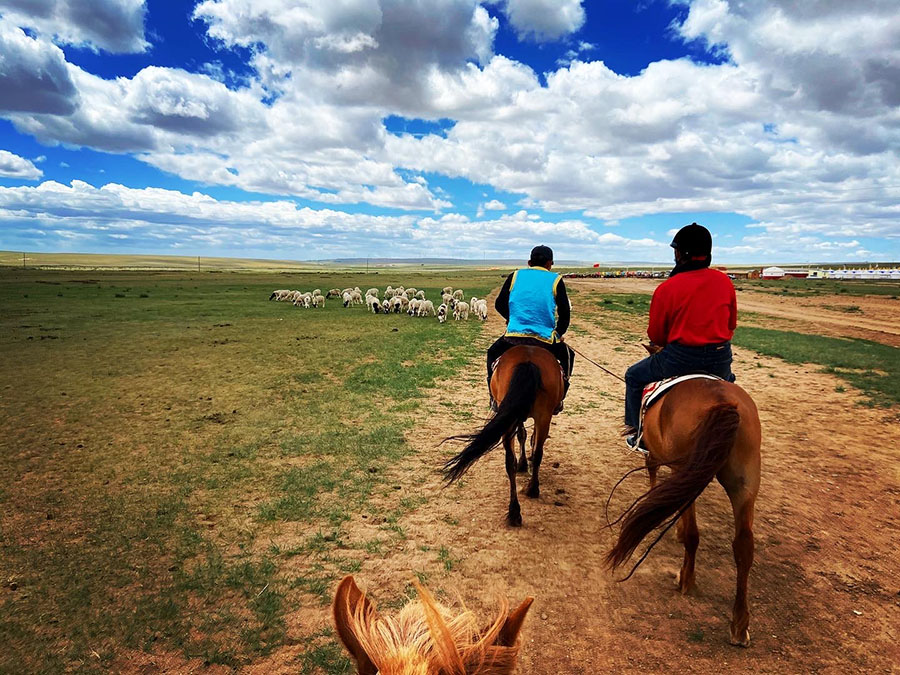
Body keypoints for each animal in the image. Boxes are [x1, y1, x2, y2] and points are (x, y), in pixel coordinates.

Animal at [442, 348, 564, 528]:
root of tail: (528, 361)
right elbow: (524, 435)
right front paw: (524, 463)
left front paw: (523, 462)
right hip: (540, 416)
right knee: (533, 454)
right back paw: (527, 495)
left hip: (527, 415)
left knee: (513, 460)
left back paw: (517, 508)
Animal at [604, 378, 760, 648]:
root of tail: (723, 403)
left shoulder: (654, 453)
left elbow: (653, 475)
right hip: (745, 484)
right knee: (743, 547)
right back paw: (740, 625)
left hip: (688, 470)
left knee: (693, 534)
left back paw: (686, 579)